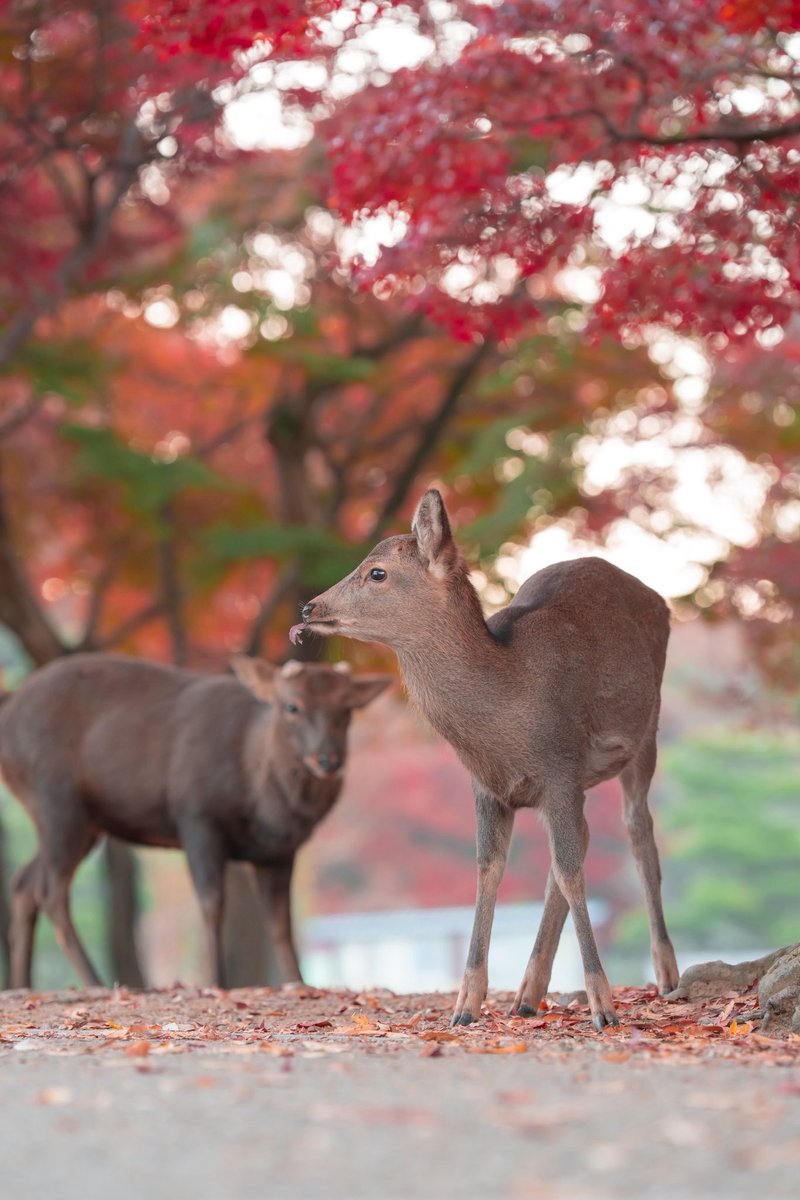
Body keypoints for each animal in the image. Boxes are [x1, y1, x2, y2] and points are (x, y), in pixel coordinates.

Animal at [0, 652, 391, 990]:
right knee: (50, 890)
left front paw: (299, 982)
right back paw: (96, 982)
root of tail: (11, 704)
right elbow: (212, 903)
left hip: (85, 823)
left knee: (24, 882)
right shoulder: (196, 817)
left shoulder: (279, 852)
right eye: (291, 705)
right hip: (54, 797)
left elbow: (281, 922)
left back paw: (22, 983)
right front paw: (217, 980)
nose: (329, 759)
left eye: (347, 709)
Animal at [290, 488, 679, 1029]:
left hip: (648, 729)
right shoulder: (487, 786)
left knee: (638, 832)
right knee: (579, 847)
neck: (507, 720)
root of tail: (657, 596)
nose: (309, 607)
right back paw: (527, 993)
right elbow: (489, 871)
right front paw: (464, 1006)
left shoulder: (561, 766)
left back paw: (666, 975)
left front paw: (603, 1007)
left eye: (377, 572)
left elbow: (571, 871)